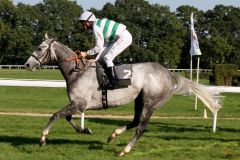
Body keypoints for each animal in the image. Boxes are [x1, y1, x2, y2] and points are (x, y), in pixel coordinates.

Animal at [24, 37, 221, 156]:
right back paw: (113, 135)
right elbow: (67, 117)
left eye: (40, 48)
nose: (27, 64)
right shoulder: (78, 104)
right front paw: (85, 130)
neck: (77, 72)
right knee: (135, 121)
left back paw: (124, 150)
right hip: (139, 100)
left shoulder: (80, 103)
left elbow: (55, 115)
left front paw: (42, 139)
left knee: (141, 127)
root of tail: (168, 73)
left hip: (151, 102)